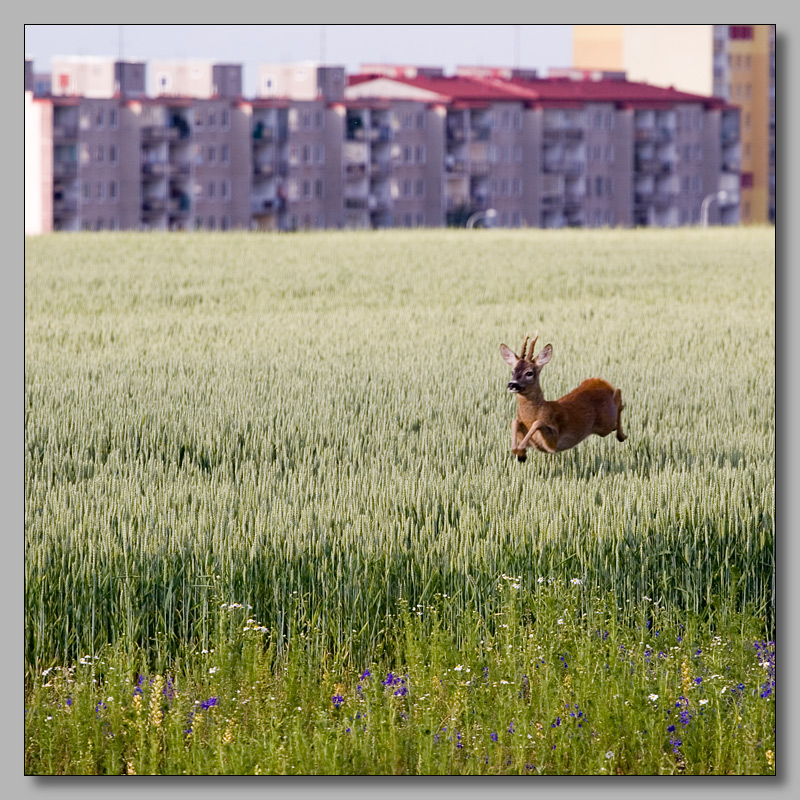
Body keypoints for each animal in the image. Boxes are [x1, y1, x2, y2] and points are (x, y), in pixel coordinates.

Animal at [500, 330, 624, 460]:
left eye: (529, 373)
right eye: (512, 371)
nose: (512, 384)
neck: (534, 413)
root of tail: (603, 383)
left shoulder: (553, 442)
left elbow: (537, 423)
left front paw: (520, 450)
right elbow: (514, 422)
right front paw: (519, 452)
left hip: (606, 422)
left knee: (619, 394)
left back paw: (622, 436)